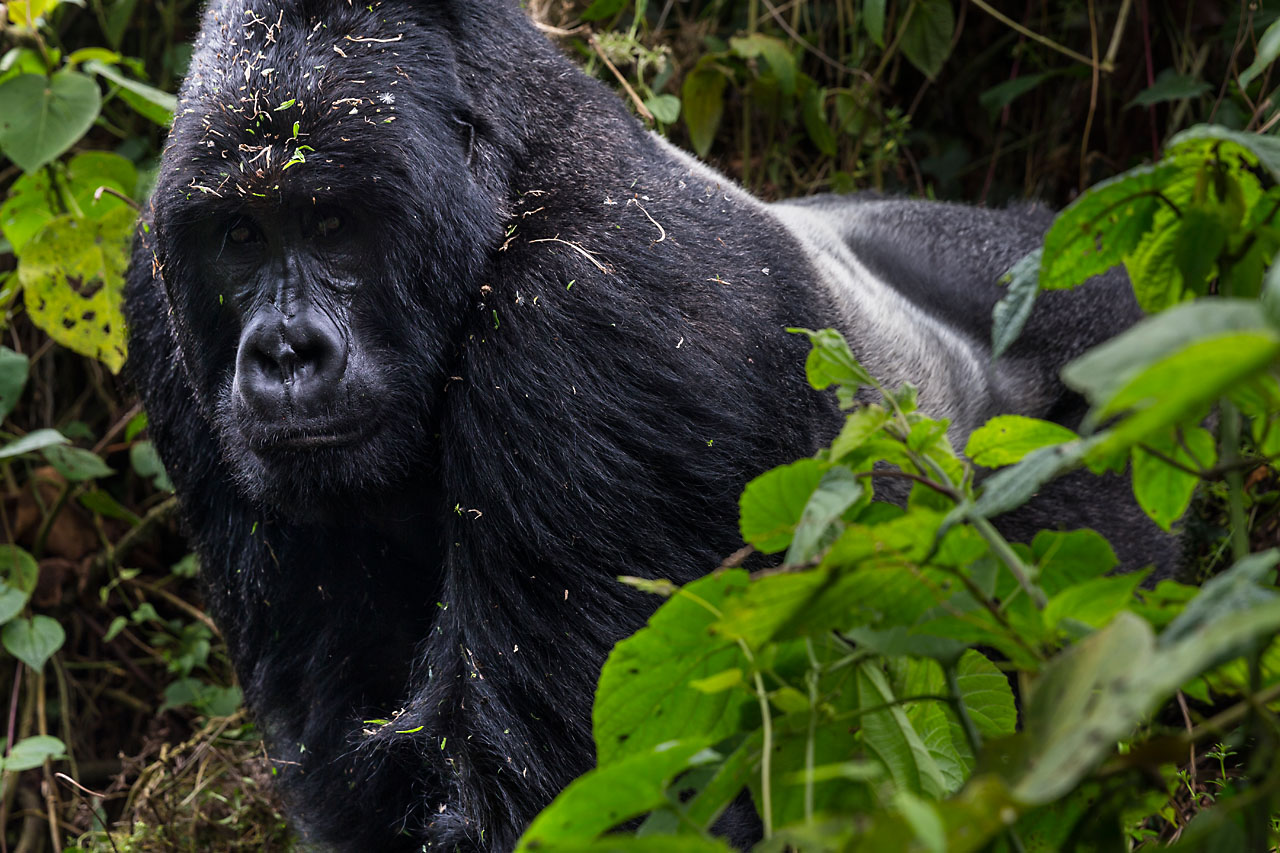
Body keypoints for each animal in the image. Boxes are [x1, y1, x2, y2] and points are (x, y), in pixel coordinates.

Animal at [124, 0, 1172, 845]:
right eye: (240, 237)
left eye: (334, 225)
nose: (284, 353)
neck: (509, 184)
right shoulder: (159, 308)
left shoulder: (589, 322)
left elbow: (569, 795)